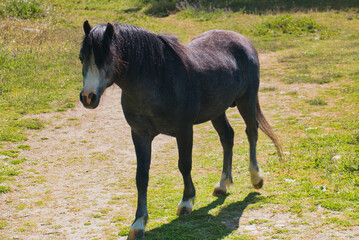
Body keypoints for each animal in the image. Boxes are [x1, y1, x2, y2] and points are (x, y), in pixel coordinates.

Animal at [79, 20, 284, 238]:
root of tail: (242, 39)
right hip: (217, 110)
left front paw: (186, 202)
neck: (159, 79)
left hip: (247, 100)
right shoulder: (140, 134)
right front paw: (138, 222)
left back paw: (256, 178)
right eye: (82, 58)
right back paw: (222, 185)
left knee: (251, 132)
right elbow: (141, 176)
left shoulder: (184, 130)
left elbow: (184, 165)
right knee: (227, 137)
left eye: (107, 58)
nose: (88, 97)